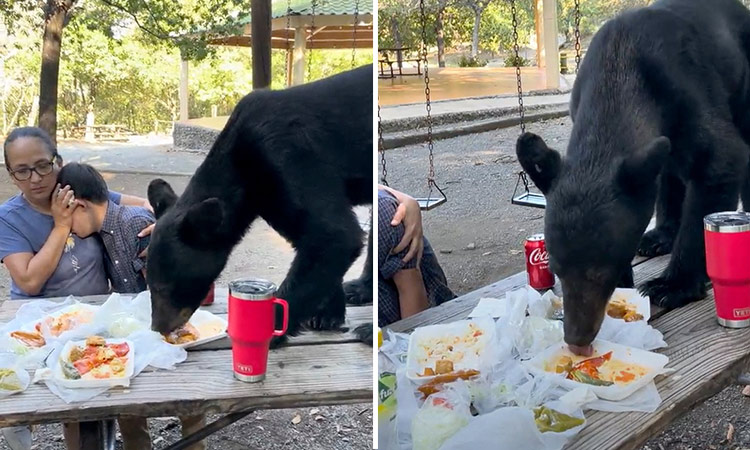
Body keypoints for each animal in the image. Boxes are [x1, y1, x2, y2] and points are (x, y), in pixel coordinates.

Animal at [146, 64, 374, 344]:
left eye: (164, 287)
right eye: (149, 283)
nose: (159, 327)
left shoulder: (288, 156)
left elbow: (333, 234)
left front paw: (270, 330)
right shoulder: (272, 197)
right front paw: (326, 314)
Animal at [516, 0, 750, 356]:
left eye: (602, 272)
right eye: (556, 269)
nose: (576, 339)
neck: (619, 68)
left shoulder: (685, 87)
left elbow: (721, 161)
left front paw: (673, 284)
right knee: (668, 172)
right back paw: (659, 235)